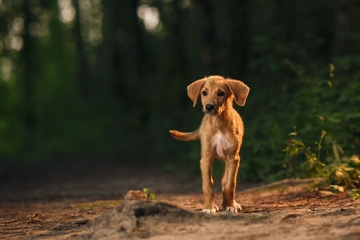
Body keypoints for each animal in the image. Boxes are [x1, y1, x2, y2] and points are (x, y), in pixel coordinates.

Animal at [169, 75, 249, 214]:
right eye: (204, 92)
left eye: (221, 93)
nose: (209, 107)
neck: (218, 124)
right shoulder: (206, 158)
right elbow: (207, 185)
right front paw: (209, 207)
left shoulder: (233, 158)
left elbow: (230, 184)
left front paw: (230, 205)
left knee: (225, 181)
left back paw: (231, 203)